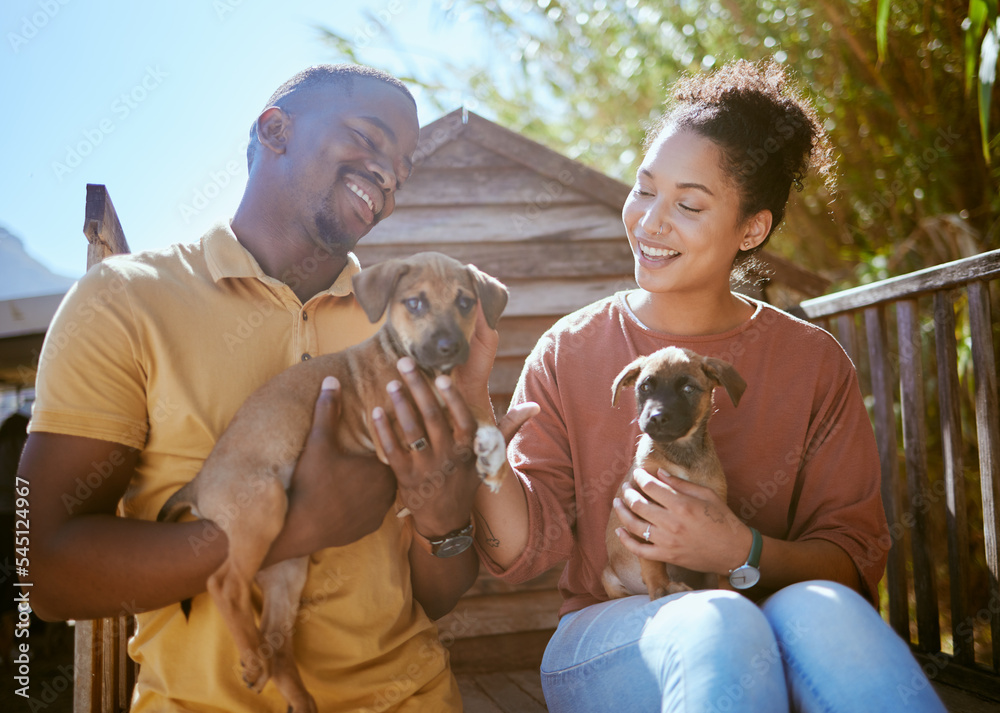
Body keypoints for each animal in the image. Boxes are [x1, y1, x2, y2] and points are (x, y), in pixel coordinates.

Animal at [159, 253, 512, 712]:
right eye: (414, 303)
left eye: (467, 302)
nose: (449, 347)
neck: (423, 372)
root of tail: (200, 483)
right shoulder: (392, 425)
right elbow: (458, 419)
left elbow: (473, 414)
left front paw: (494, 451)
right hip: (262, 507)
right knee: (223, 585)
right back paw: (252, 659)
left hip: (285, 574)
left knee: (279, 646)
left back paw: (295, 693)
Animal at [600, 348, 744, 596]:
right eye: (644, 387)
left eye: (688, 389)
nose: (657, 417)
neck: (680, 454)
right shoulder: (643, 506)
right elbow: (651, 557)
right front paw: (660, 587)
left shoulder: (716, 504)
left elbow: (721, 561)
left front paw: (727, 588)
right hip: (608, 577)